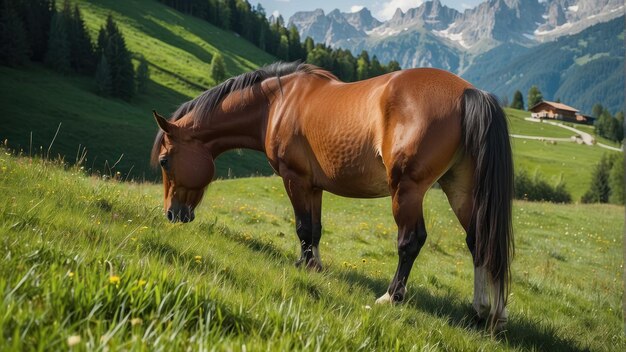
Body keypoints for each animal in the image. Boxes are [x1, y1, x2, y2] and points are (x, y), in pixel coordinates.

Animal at [151, 61, 512, 332]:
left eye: (165, 160)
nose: (172, 214)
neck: (277, 103)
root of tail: (469, 92)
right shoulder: (314, 186)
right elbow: (315, 229)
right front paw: (313, 265)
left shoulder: (294, 179)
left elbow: (302, 227)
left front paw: (305, 265)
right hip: (460, 189)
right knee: (480, 241)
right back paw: (486, 311)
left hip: (407, 190)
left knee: (411, 241)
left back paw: (391, 296)